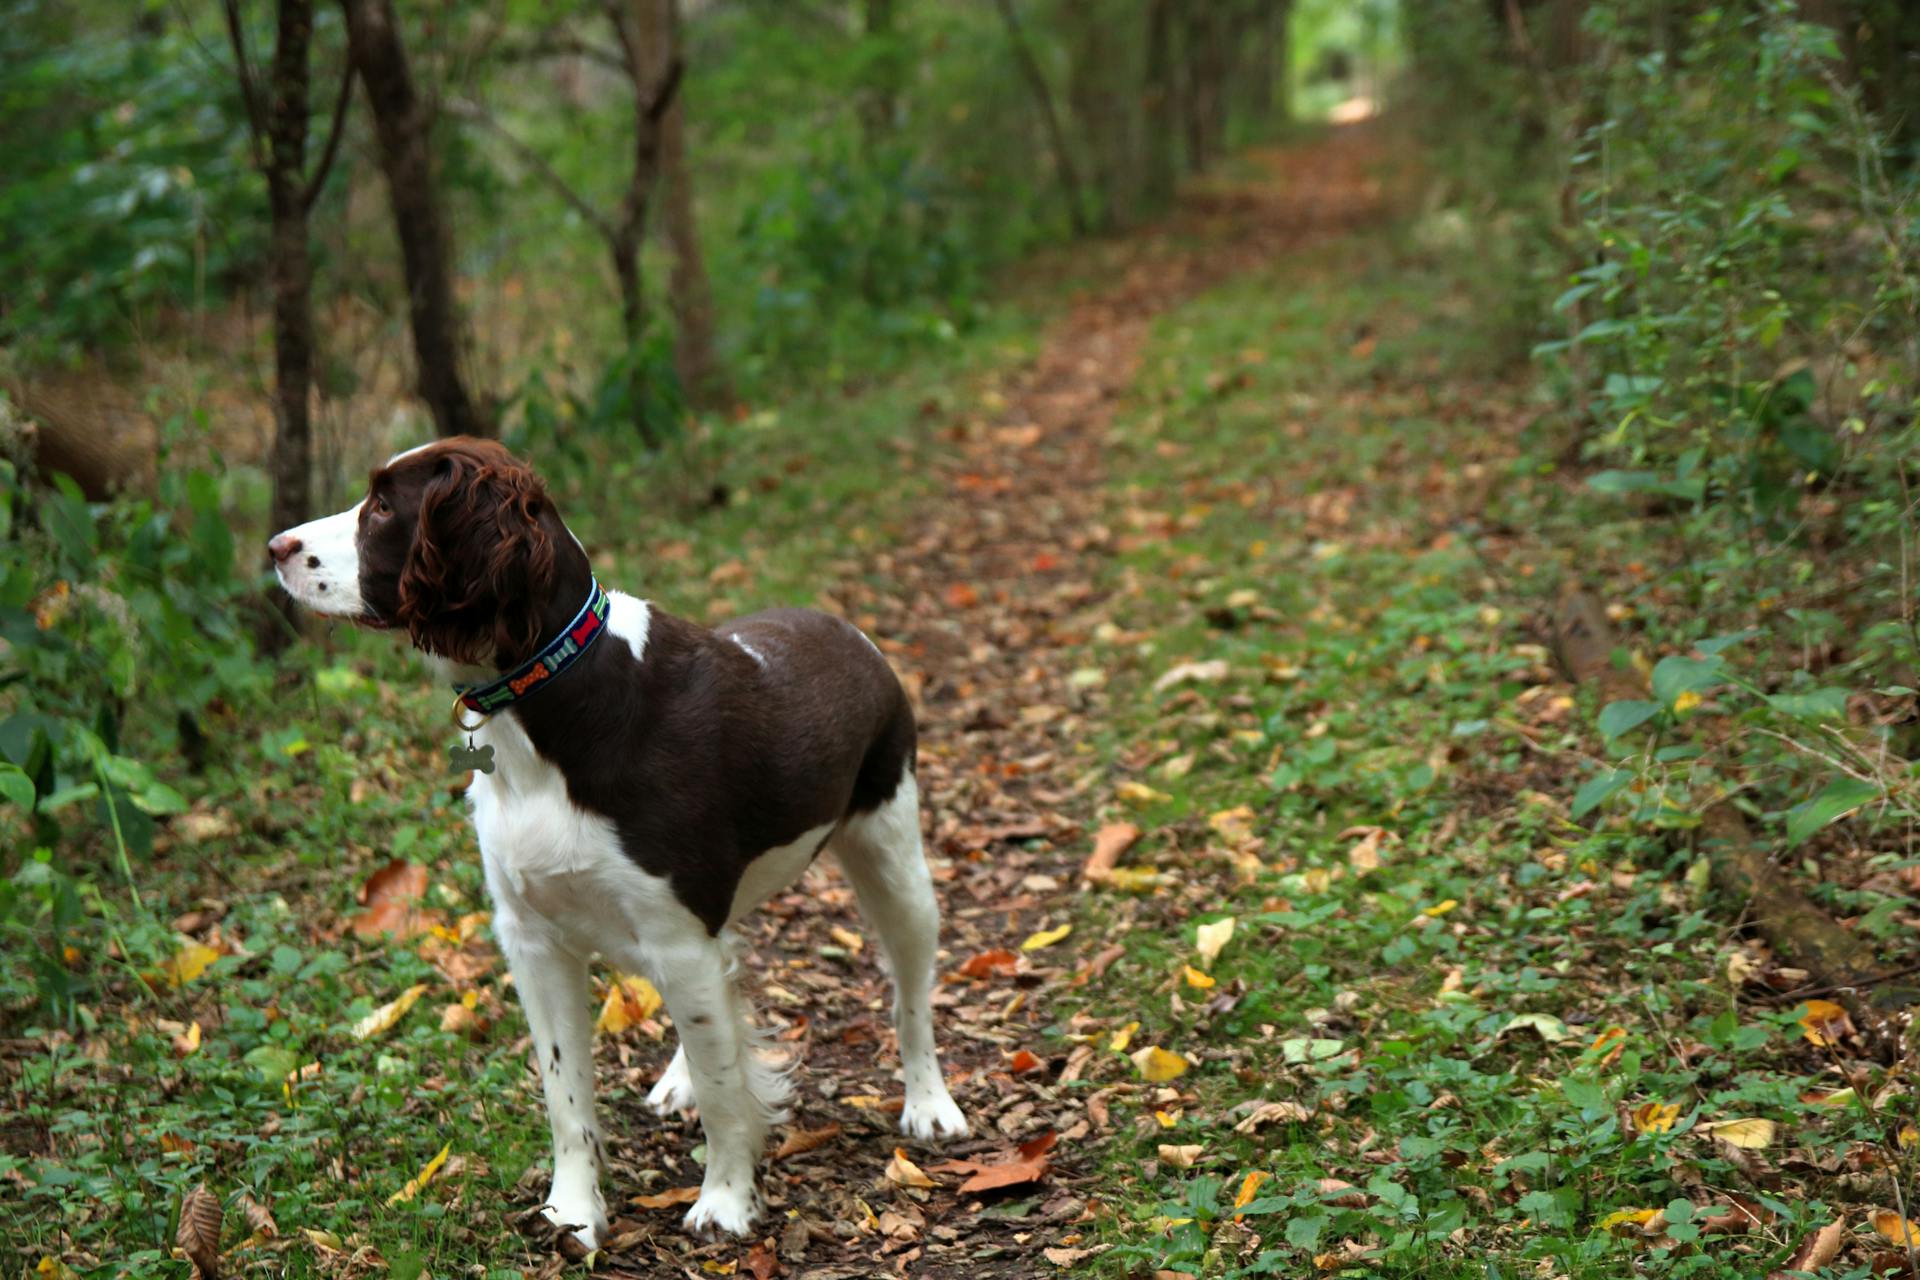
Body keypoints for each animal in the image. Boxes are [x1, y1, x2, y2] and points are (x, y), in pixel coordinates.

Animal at [263, 443, 967, 1251]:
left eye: (383, 507)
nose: (275, 547)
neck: (553, 708)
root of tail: (846, 628)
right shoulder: (534, 939)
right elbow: (566, 1095)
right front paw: (573, 1211)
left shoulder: (676, 936)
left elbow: (726, 1094)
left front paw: (726, 1202)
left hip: (894, 860)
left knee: (909, 995)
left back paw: (929, 1105)